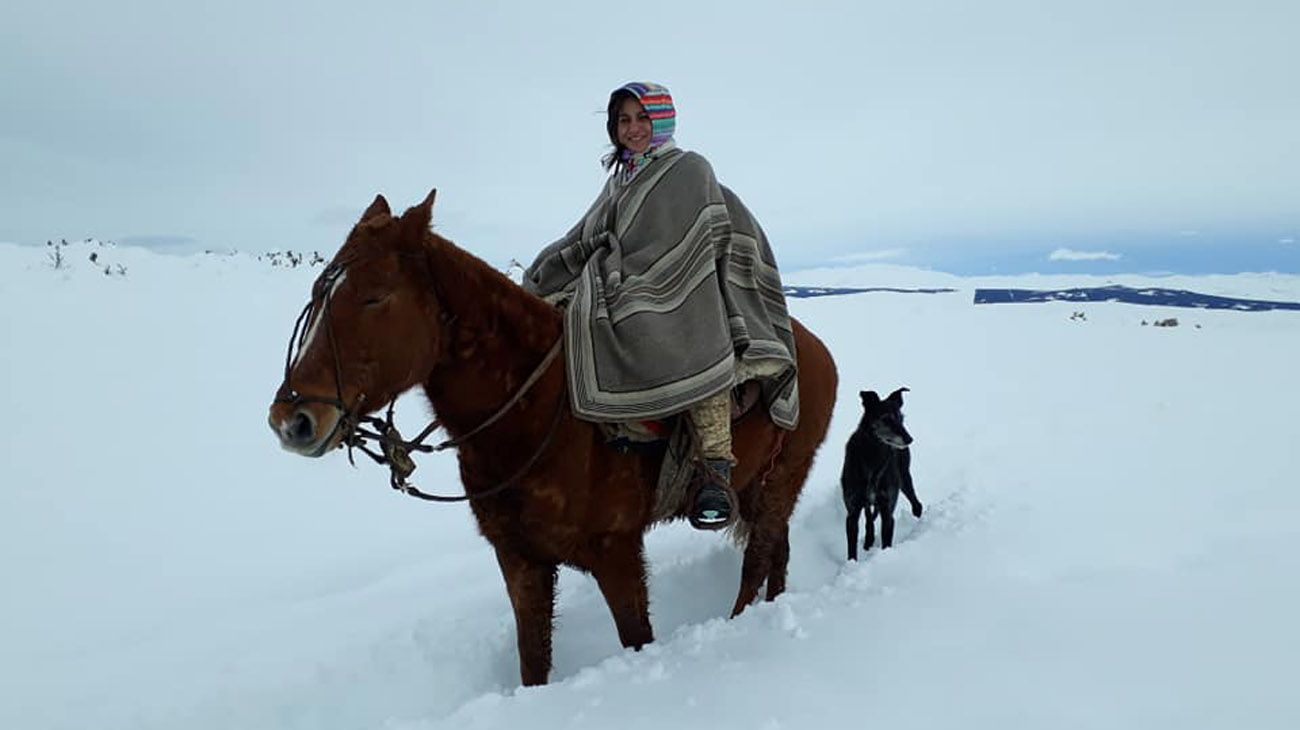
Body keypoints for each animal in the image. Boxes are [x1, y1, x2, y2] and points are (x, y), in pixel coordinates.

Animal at [267, 188, 837, 680]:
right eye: (319, 292)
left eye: (374, 297)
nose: (291, 420)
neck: (538, 414)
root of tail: (818, 350)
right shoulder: (521, 560)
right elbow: (533, 661)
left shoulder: (617, 553)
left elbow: (636, 638)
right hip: (758, 489)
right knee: (776, 553)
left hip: (782, 479)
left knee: (757, 560)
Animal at [837, 387, 920, 555]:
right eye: (886, 418)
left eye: (901, 418)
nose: (909, 439)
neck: (873, 456)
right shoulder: (852, 512)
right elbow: (852, 551)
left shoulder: (887, 512)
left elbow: (886, 540)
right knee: (869, 519)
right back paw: (868, 540)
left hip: (904, 477)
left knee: (916, 503)